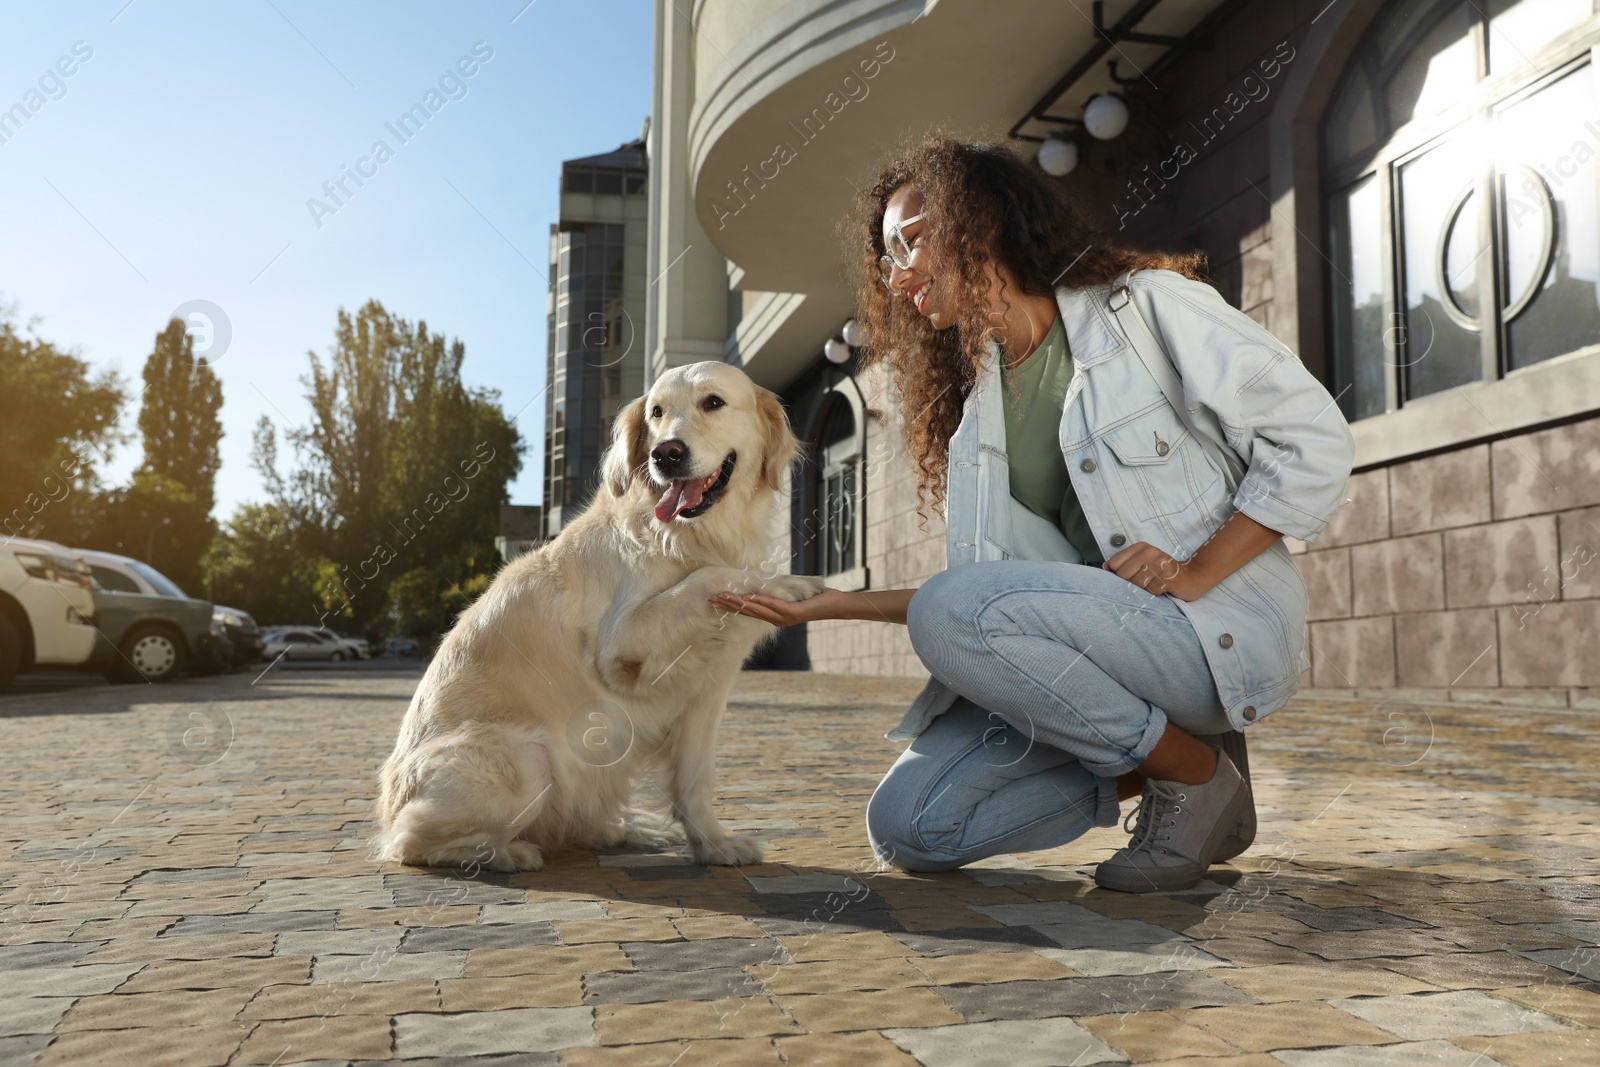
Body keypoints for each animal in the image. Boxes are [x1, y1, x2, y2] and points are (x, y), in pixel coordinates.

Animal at [376, 363, 825, 870]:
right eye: (656, 412)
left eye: (713, 402)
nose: (666, 453)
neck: (692, 533)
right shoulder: (622, 643)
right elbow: (706, 576)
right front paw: (788, 583)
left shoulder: (707, 693)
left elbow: (695, 782)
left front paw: (713, 845)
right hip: (531, 760)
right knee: (408, 840)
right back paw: (505, 852)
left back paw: (626, 830)